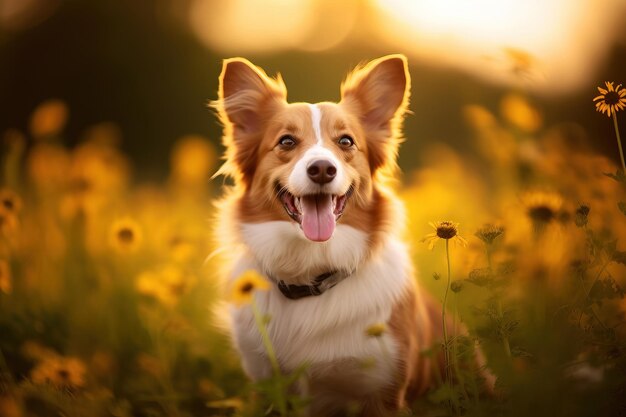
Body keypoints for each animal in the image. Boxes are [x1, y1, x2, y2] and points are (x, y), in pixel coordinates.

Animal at [212, 55, 486, 416]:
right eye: (286, 141)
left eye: (345, 141)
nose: (322, 170)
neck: (310, 274)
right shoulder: (268, 386)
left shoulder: (384, 394)